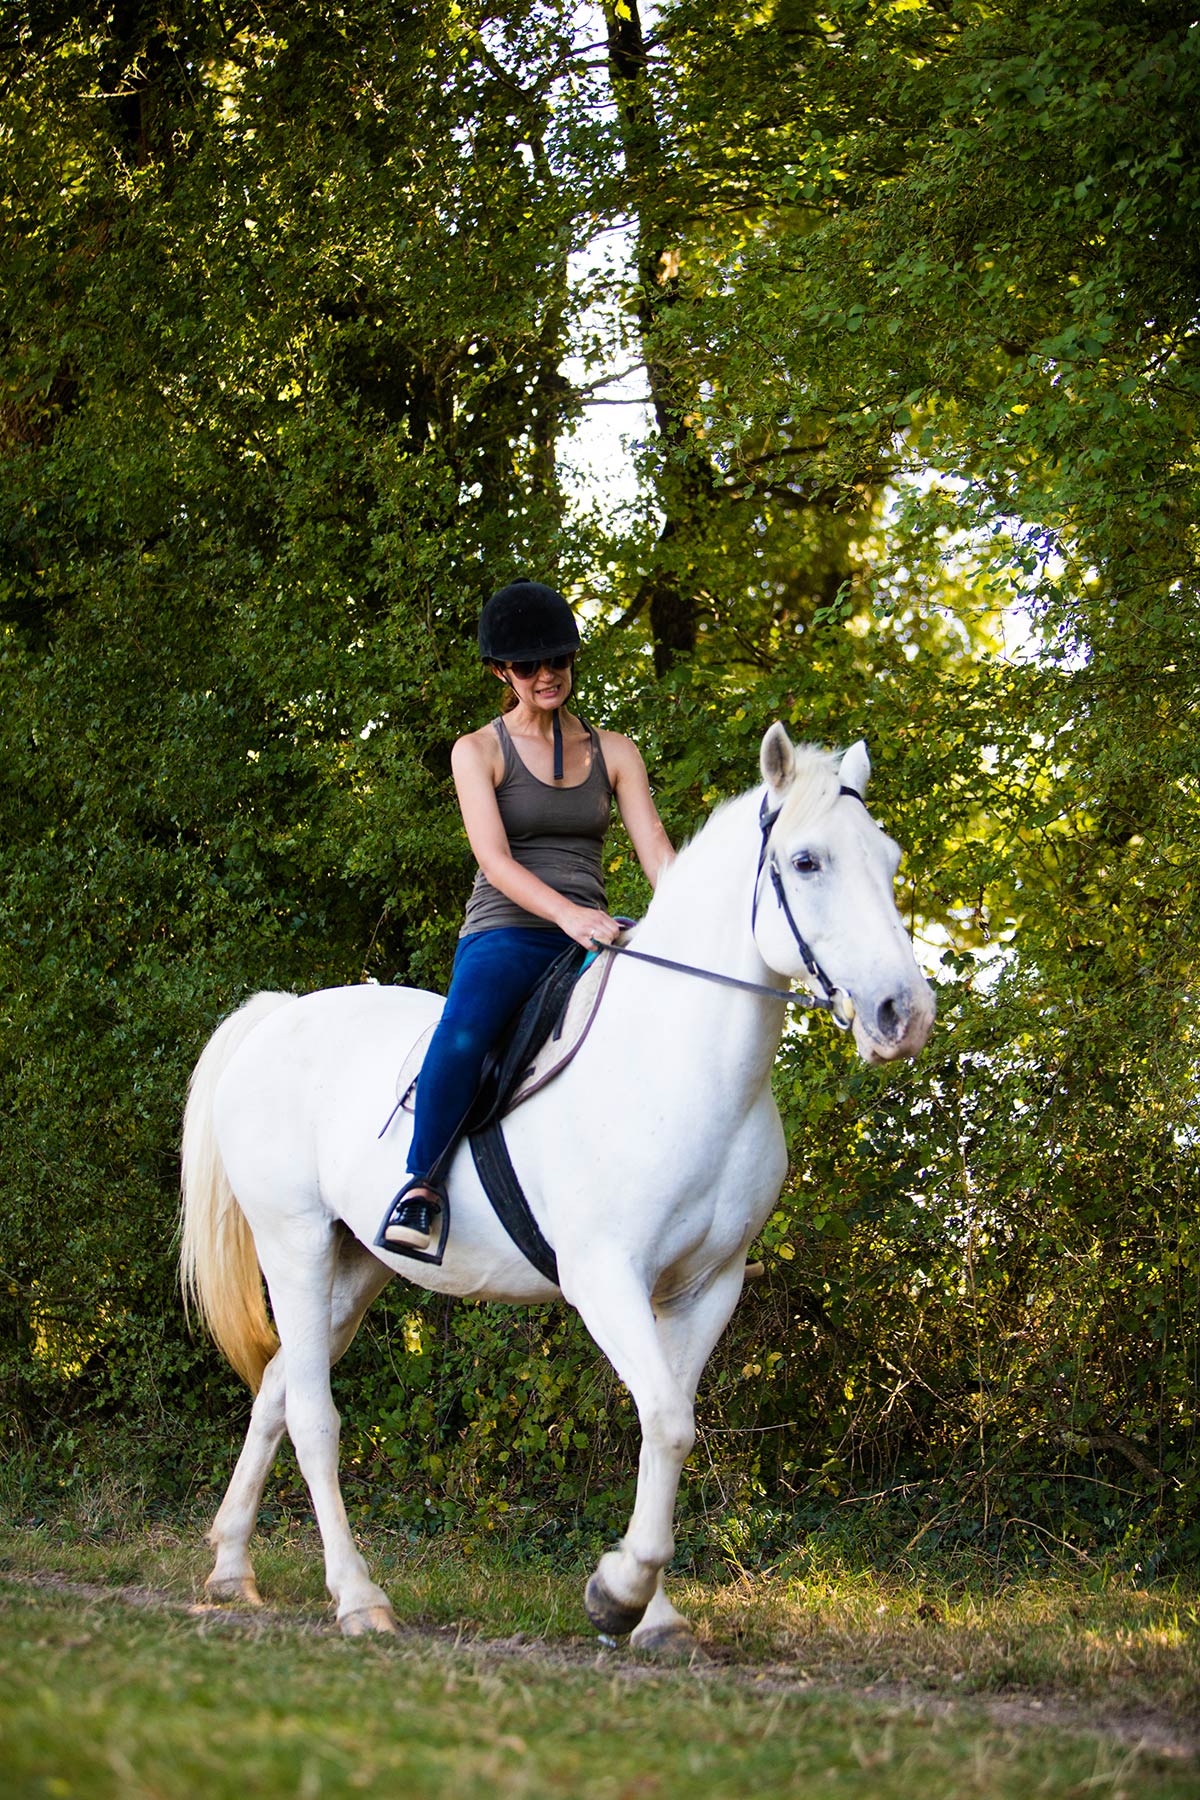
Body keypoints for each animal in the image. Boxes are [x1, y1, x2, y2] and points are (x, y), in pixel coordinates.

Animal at [178, 723, 935, 1648]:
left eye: (889, 860)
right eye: (805, 862)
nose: (904, 1015)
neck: (683, 1060)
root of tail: (278, 1016)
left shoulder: (706, 1288)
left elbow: (666, 1428)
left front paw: (651, 1613)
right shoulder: (606, 1279)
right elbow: (669, 1423)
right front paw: (620, 1590)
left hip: (354, 1267)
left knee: (279, 1391)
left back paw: (229, 1568)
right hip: (293, 1244)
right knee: (315, 1419)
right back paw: (357, 1597)